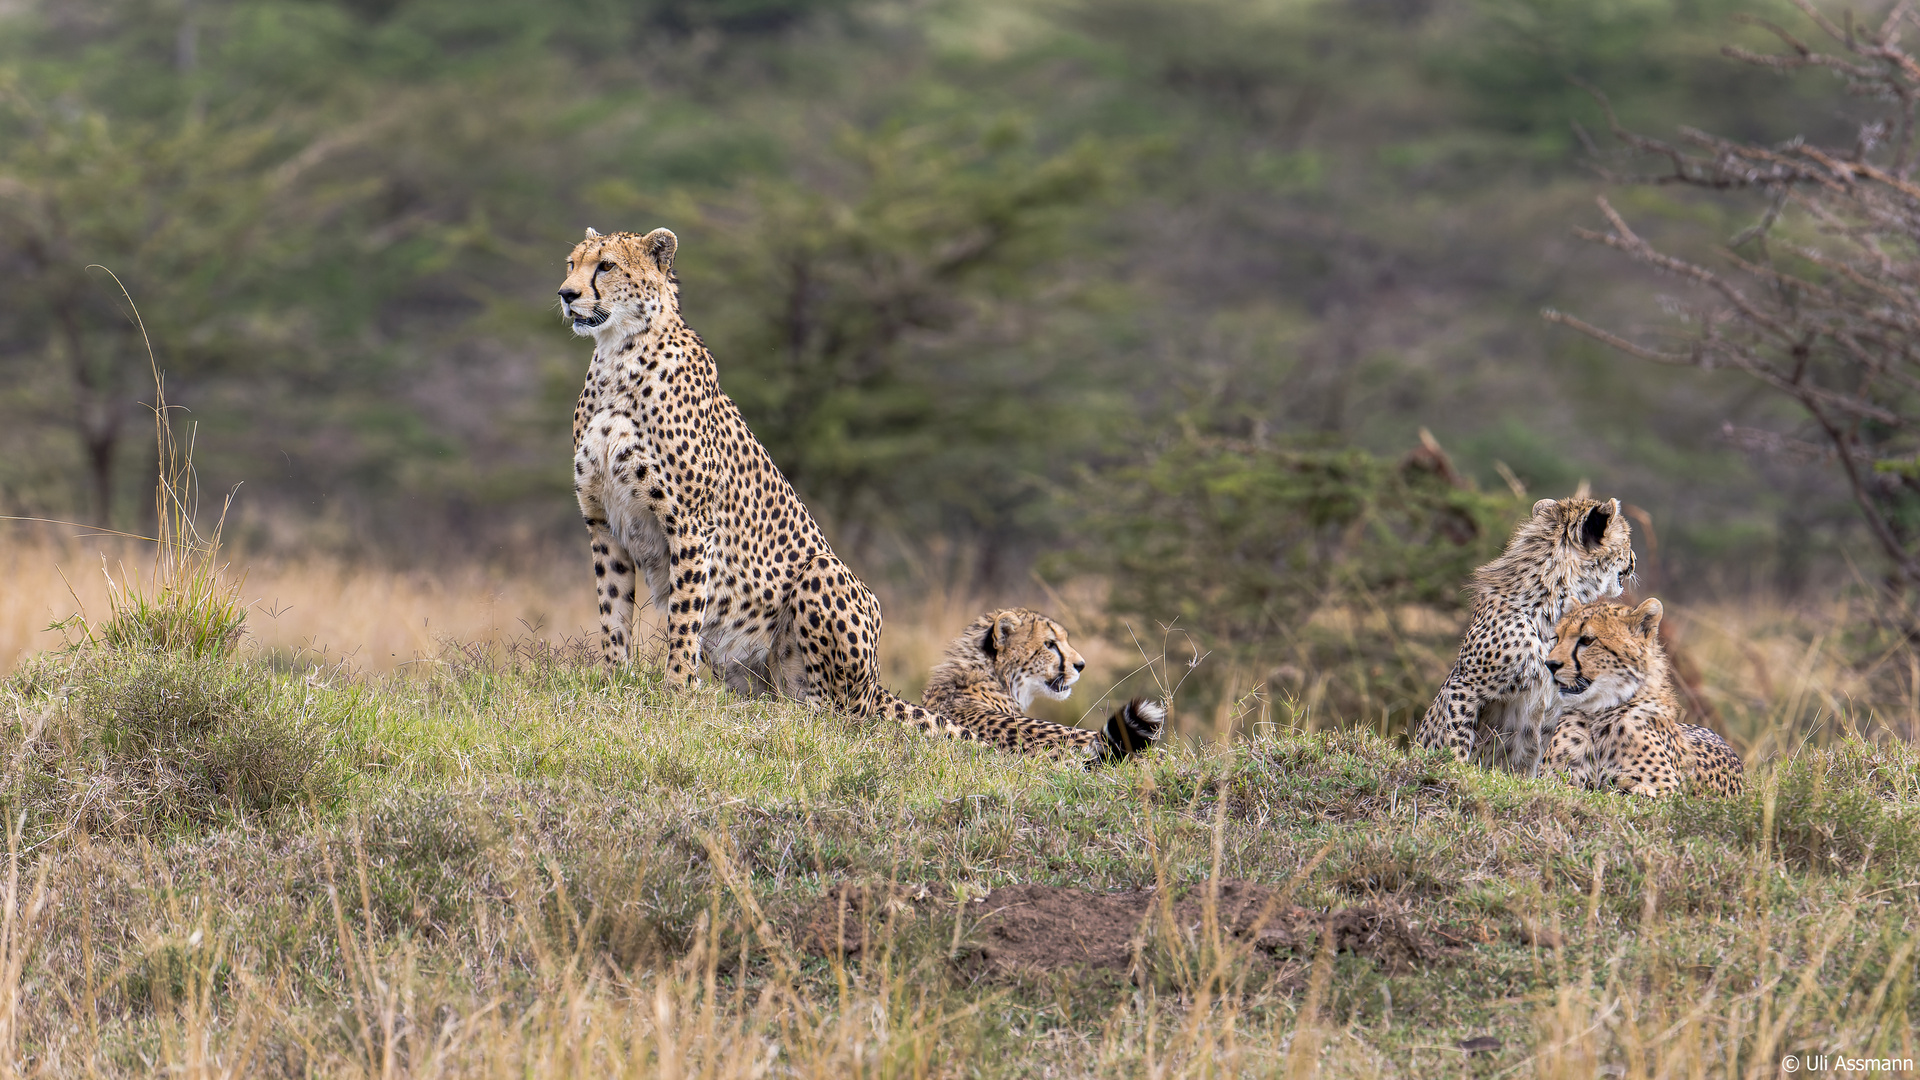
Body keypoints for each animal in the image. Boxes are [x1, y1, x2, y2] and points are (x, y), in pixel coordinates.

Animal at [556, 222, 1121, 753]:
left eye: (605, 266)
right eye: (571, 263)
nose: (565, 293)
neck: (617, 355)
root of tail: (875, 683)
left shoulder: (691, 524)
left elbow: (683, 621)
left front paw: (675, 693)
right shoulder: (602, 522)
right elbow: (613, 613)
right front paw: (613, 682)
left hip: (823, 576)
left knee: (841, 713)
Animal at [1413, 495, 1635, 772]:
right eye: (1627, 541)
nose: (1634, 559)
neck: (1553, 605)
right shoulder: (1464, 686)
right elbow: (1455, 738)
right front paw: (1452, 768)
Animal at [1543, 599, 1743, 795]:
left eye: (1587, 640)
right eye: (1557, 638)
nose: (1550, 664)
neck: (1597, 713)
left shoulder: (1666, 790)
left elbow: (1624, 792)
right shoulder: (1551, 777)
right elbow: (1565, 787)